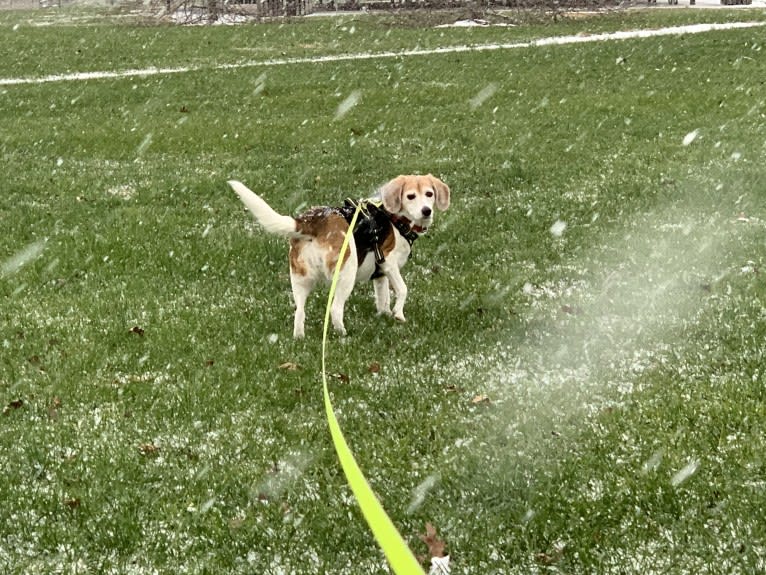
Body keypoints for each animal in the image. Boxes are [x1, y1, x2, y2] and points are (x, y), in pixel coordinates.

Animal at [231, 174, 452, 338]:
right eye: (410, 196)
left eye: (429, 194)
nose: (426, 210)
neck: (395, 220)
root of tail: (311, 221)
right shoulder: (389, 263)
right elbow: (403, 290)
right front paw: (398, 315)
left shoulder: (380, 274)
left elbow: (383, 297)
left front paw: (385, 315)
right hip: (346, 275)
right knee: (335, 309)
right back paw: (344, 335)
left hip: (300, 280)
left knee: (299, 313)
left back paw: (300, 337)